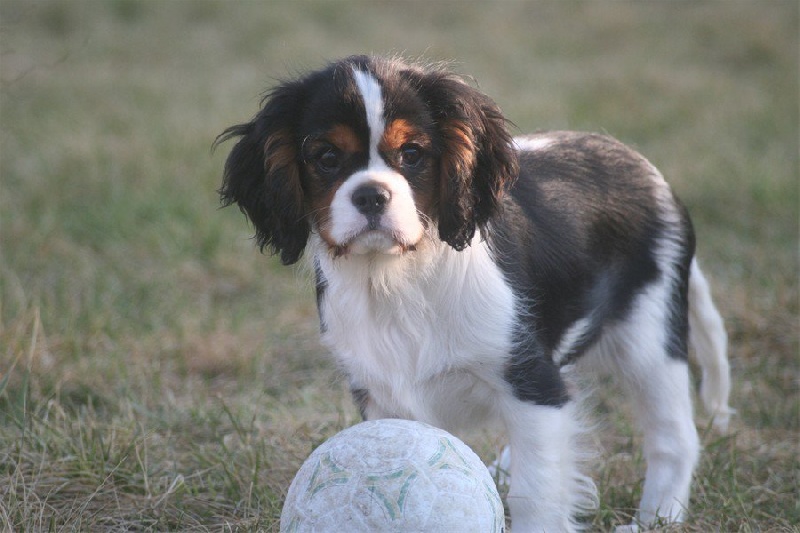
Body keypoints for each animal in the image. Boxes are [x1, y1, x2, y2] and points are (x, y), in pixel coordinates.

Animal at [216, 56, 736, 528]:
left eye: (412, 154)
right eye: (325, 157)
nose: (370, 195)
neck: (396, 277)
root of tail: (652, 176)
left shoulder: (533, 384)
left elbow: (536, 494)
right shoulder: (384, 395)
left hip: (649, 336)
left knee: (674, 436)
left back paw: (657, 516)